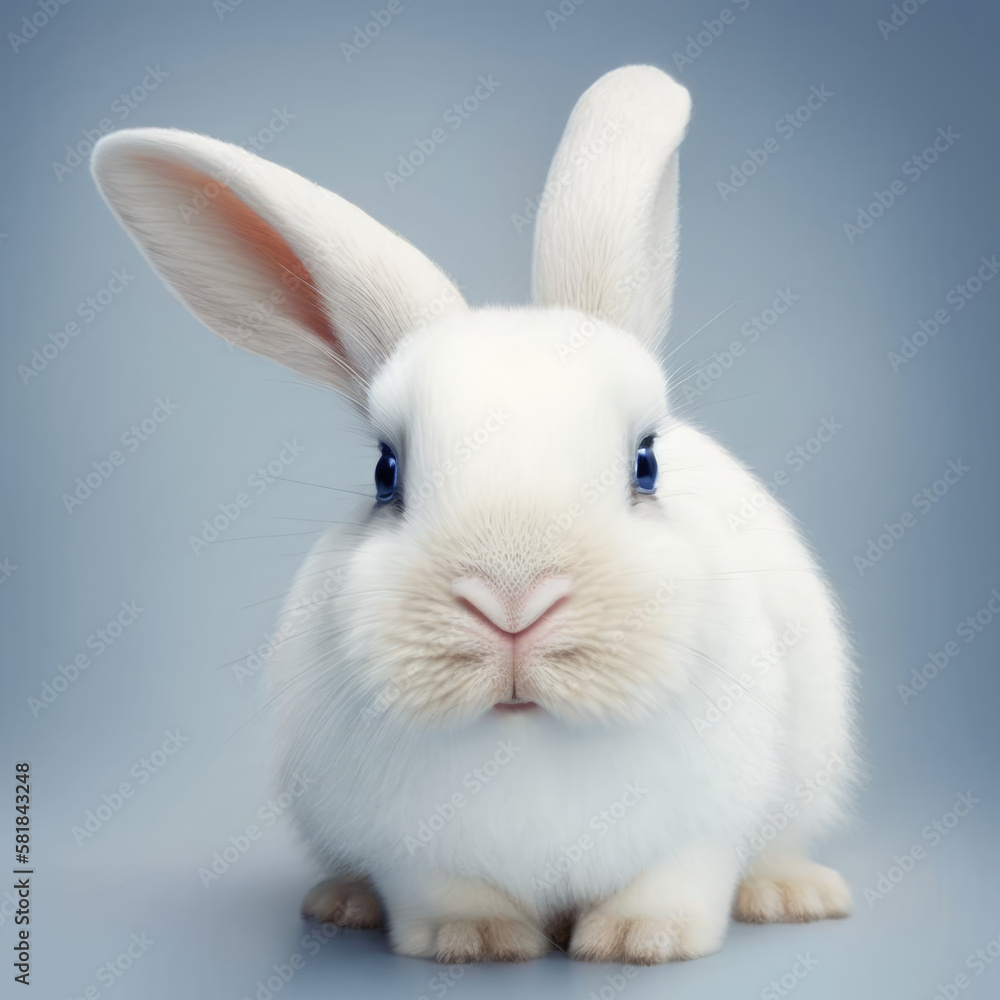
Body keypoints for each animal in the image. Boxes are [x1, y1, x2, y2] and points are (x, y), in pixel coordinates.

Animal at [90, 64, 858, 965]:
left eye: (645, 463)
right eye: (385, 472)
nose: (513, 602)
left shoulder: (701, 833)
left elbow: (675, 879)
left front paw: (642, 940)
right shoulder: (410, 853)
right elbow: (444, 891)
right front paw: (475, 941)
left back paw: (793, 894)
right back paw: (343, 902)